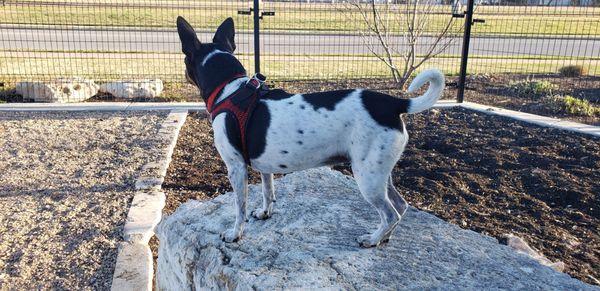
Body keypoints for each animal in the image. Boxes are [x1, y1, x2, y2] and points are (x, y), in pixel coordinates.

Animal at [176, 17, 442, 248]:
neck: (230, 90)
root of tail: (393, 103)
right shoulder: (264, 166)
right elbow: (267, 191)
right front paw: (265, 212)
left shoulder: (236, 167)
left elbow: (239, 208)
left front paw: (235, 233)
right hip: (379, 172)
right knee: (401, 205)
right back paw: (385, 237)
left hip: (367, 178)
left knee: (391, 213)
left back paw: (373, 239)